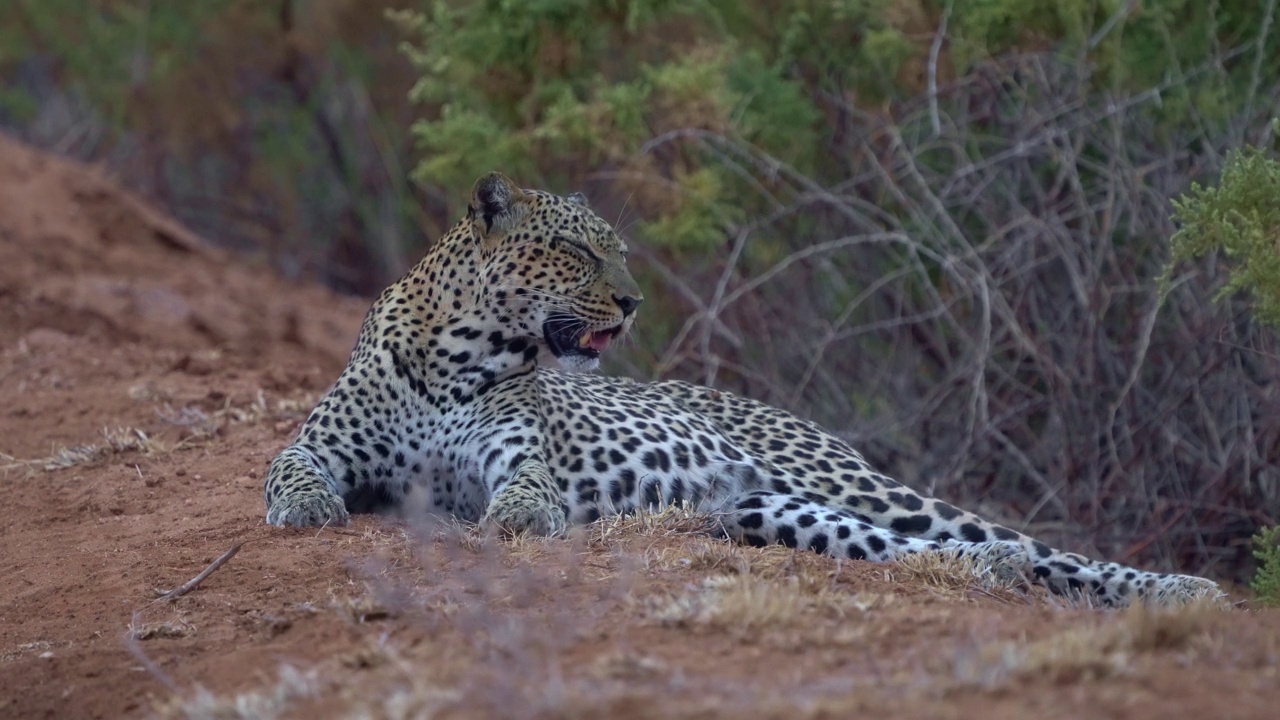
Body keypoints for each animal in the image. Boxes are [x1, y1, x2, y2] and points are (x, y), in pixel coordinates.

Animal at [264, 172, 1223, 604]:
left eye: (618, 251)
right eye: (575, 251)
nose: (633, 300)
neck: (457, 355)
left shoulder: (516, 449)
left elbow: (528, 482)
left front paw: (524, 519)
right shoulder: (321, 440)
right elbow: (290, 465)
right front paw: (305, 510)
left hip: (853, 484)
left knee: (1040, 547)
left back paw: (1181, 590)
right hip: (772, 513)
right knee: (919, 552)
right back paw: (993, 571)